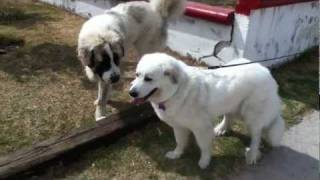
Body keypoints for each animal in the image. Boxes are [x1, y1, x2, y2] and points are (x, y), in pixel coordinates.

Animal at [129, 53, 284, 169]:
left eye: (148, 78)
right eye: (137, 75)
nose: (131, 93)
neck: (177, 90)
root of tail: (265, 70)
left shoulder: (201, 128)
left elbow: (203, 146)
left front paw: (204, 162)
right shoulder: (179, 126)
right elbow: (179, 142)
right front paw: (176, 154)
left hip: (252, 116)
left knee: (257, 136)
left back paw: (252, 154)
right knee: (229, 117)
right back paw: (221, 129)